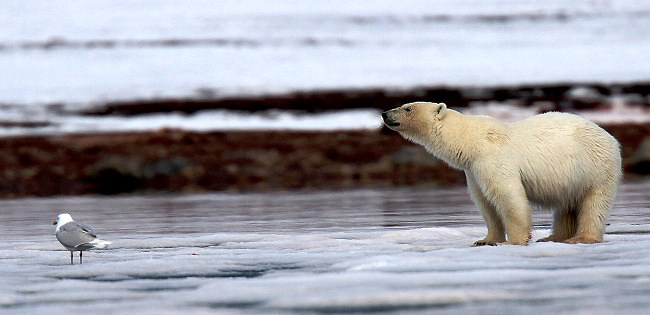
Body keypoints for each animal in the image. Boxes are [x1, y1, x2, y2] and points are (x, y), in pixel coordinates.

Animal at [382, 102, 620, 246]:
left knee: (593, 204)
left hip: (596, 169)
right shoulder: (473, 170)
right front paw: (485, 240)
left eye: (407, 108)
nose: (384, 114)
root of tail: (610, 137)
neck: (471, 141)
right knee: (566, 205)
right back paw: (553, 237)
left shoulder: (492, 159)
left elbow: (508, 196)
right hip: (573, 176)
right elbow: (485, 203)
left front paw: (512, 241)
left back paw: (581, 238)